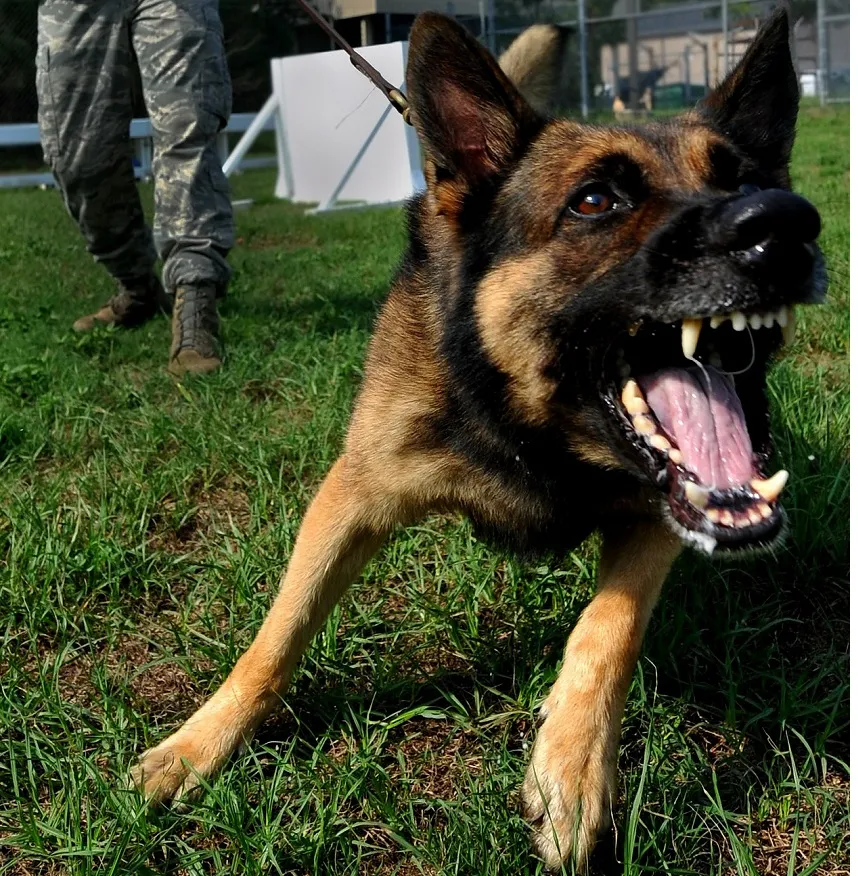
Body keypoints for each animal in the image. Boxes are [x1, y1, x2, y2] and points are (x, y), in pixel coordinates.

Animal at [132, 12, 824, 868]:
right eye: (595, 200)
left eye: (746, 182)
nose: (783, 224)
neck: (532, 425)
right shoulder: (352, 494)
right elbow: (276, 635)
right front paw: (199, 745)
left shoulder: (658, 515)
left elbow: (608, 630)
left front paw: (572, 766)